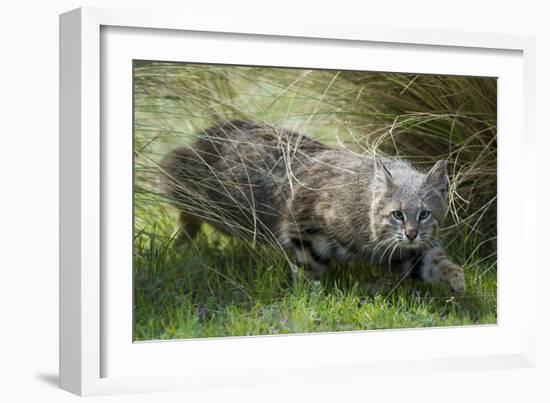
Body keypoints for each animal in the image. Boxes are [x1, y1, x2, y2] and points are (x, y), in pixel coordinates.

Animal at [160, 120, 466, 294]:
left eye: (425, 214)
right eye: (398, 214)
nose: (412, 233)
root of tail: (211, 131)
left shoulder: (403, 252)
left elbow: (437, 263)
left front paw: (457, 280)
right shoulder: (300, 225)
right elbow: (309, 268)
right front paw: (308, 298)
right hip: (206, 193)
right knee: (183, 200)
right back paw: (179, 244)